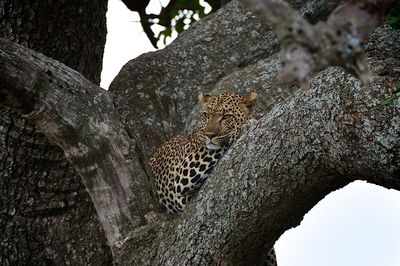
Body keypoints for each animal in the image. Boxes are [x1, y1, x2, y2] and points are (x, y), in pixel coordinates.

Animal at [148, 91, 276, 266]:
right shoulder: (183, 174)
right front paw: (246, 125)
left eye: (226, 116)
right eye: (206, 115)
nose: (209, 135)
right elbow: (218, 145)